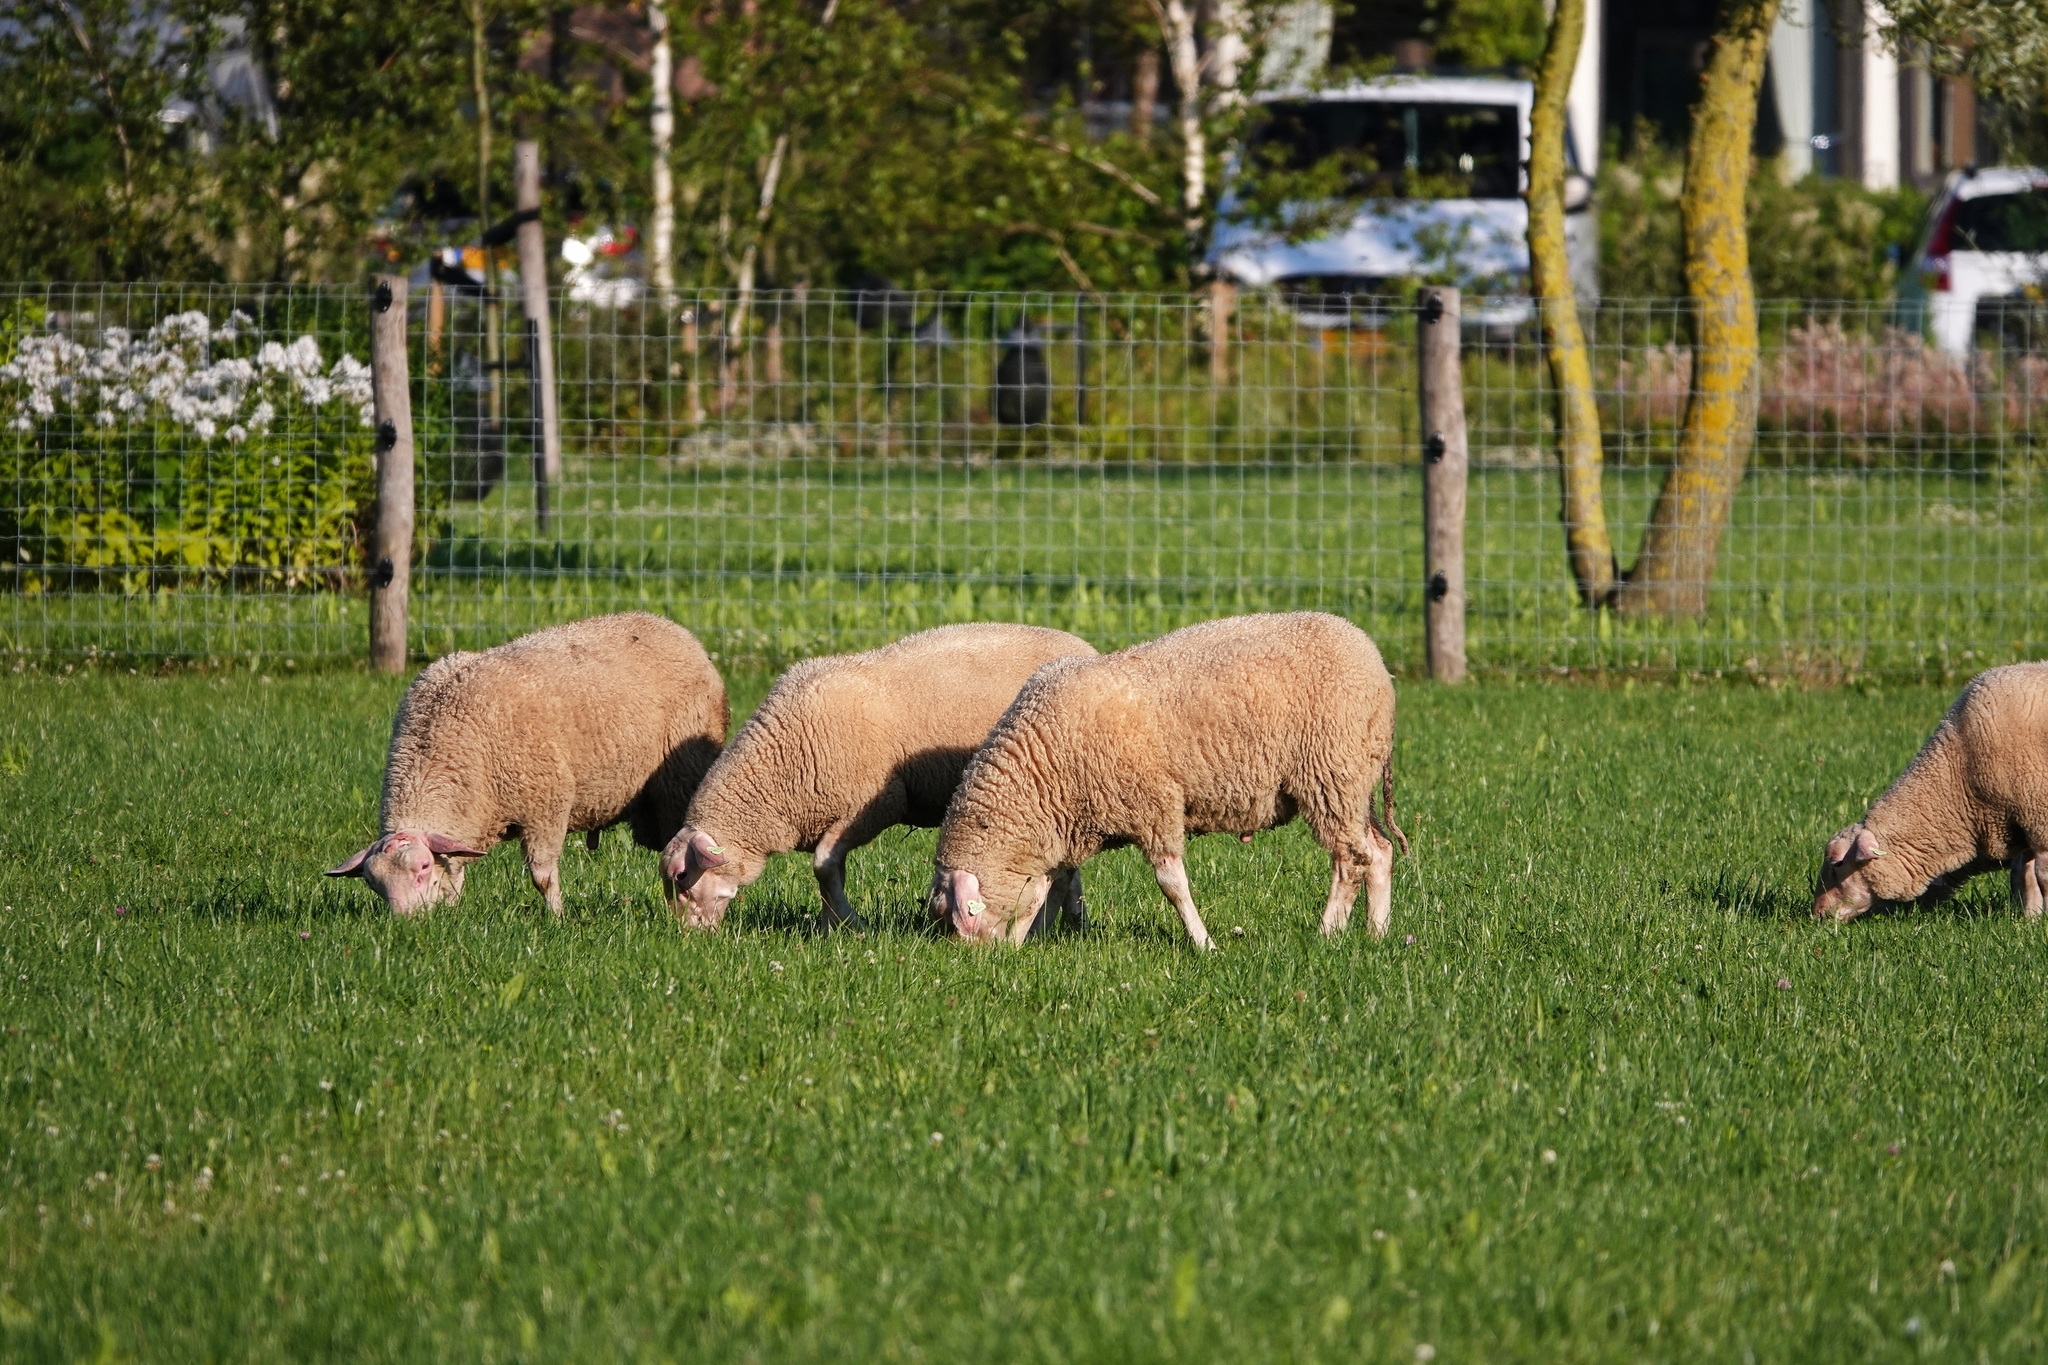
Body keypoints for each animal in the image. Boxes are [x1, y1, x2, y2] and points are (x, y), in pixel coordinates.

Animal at [323, 618, 724, 916]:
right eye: (373, 883)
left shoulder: (546, 803)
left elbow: (542, 876)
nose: (406, 923)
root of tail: (676, 630)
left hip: (678, 780)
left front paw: (557, 917)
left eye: (422, 868)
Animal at [663, 626, 1097, 933]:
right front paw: (832, 928)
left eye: (683, 878)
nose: (685, 936)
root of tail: (1085, 647)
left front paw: (849, 924)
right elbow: (830, 872)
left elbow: (824, 866)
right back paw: (1073, 919)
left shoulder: (877, 804)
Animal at [933, 609, 1400, 949]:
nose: (976, 959)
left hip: (1331, 773)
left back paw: (1327, 934)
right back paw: (1376, 935)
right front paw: (1024, 942)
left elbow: (1172, 885)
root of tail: (1372, 656)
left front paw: (1204, 944)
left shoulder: (1155, 806)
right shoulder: (1064, 826)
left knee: (1350, 860)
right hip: (1355, 779)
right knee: (1379, 851)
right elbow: (1047, 887)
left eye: (958, 919)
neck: (1041, 767)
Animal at [1818, 663, 2048, 925]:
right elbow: (2024, 877)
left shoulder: (2038, 817)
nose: (1818, 914)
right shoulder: (2022, 822)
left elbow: (2040, 876)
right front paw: (2030, 918)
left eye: (1837, 863)